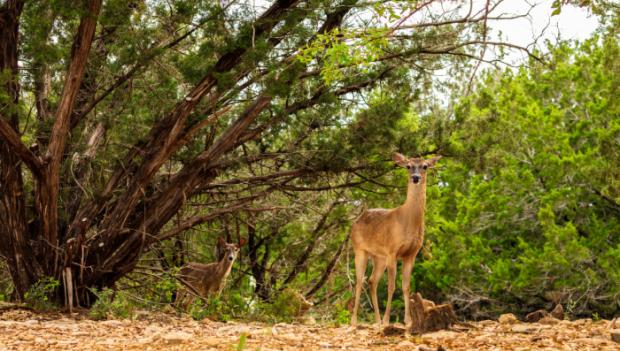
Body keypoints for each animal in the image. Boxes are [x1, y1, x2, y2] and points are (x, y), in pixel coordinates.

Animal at [352, 153, 444, 328]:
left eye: (425, 166)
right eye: (408, 166)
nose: (415, 177)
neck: (407, 221)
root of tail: (356, 220)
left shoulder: (411, 254)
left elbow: (406, 286)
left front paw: (408, 320)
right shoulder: (392, 251)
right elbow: (392, 286)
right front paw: (388, 320)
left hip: (379, 257)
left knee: (372, 281)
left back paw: (377, 320)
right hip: (360, 250)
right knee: (360, 281)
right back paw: (354, 321)